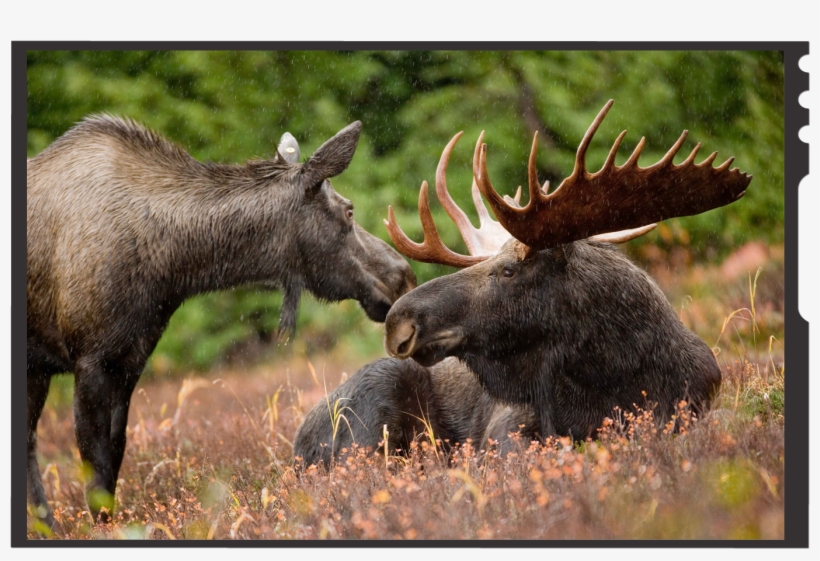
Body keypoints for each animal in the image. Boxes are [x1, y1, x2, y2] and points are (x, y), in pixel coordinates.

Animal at [26, 116, 417, 529]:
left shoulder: (129, 360)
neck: (172, 266)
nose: (403, 276)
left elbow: (115, 455)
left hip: (36, 369)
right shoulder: (90, 359)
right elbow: (96, 467)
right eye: (349, 211)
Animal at [293, 100, 751, 467]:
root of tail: (295, 446)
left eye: (509, 270)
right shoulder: (508, 427)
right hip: (375, 401)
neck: (615, 375)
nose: (398, 322)